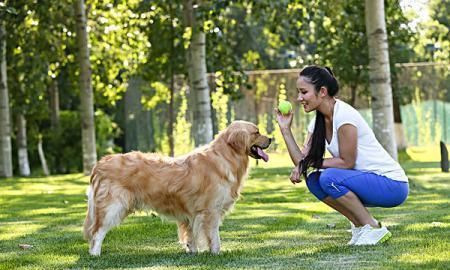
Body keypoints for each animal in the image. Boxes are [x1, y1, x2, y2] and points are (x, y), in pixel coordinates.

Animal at [83, 120, 270, 255]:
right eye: (257, 132)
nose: (271, 139)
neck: (226, 156)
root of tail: (99, 164)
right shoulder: (210, 211)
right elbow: (214, 236)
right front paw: (217, 253)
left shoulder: (191, 213)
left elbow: (190, 235)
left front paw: (193, 251)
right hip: (113, 207)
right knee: (97, 232)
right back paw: (95, 254)